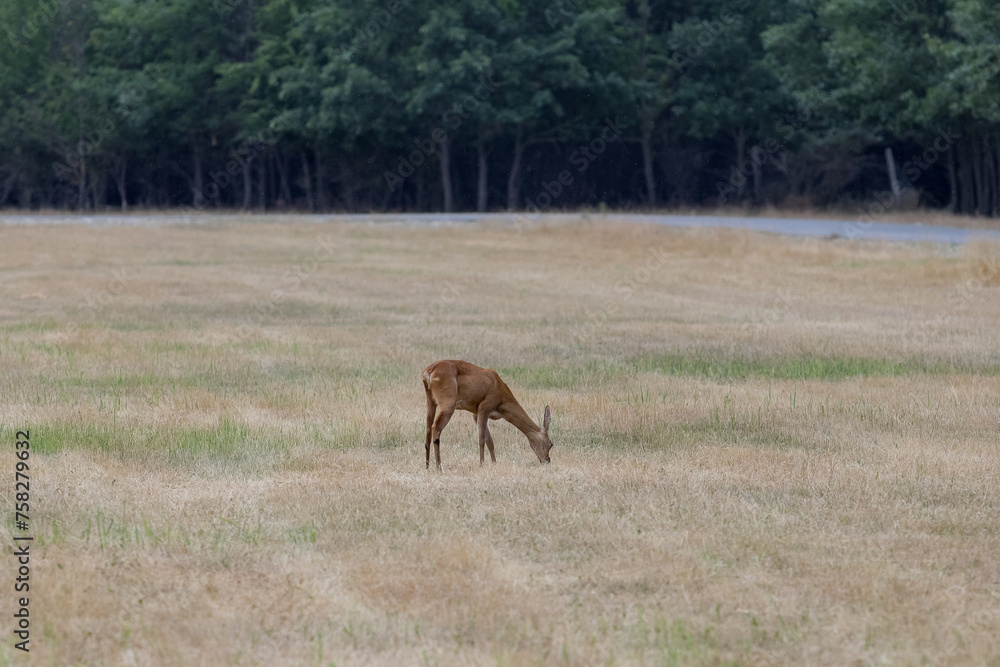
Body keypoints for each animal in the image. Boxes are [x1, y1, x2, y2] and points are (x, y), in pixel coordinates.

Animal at [422, 360, 553, 470]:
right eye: (551, 444)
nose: (547, 460)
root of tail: (429, 372)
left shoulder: (476, 414)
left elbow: (490, 441)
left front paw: (494, 463)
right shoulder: (484, 407)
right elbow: (482, 438)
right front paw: (481, 464)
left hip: (430, 401)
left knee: (428, 429)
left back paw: (427, 466)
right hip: (448, 403)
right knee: (436, 428)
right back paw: (439, 467)